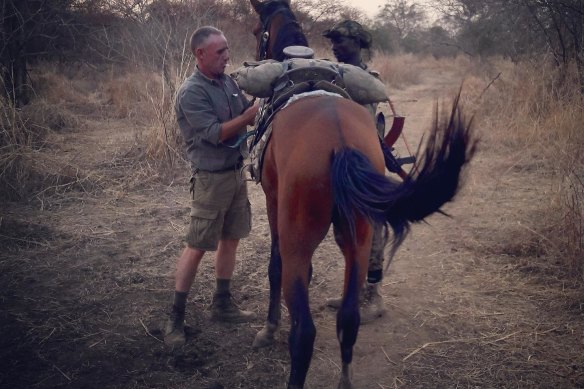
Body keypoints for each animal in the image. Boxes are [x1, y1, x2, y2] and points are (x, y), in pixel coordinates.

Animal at [249, 1, 476, 386]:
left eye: (256, 31)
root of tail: (340, 142)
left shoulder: (272, 203)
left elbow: (274, 267)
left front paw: (268, 330)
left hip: (302, 237)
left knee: (304, 332)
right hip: (358, 236)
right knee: (349, 318)